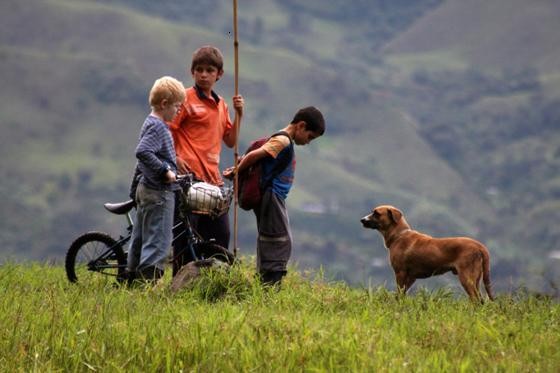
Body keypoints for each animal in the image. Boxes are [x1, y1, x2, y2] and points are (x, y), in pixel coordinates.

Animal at [360, 205, 492, 300]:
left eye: (377, 213)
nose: (362, 220)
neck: (399, 235)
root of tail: (480, 246)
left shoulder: (400, 273)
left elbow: (399, 293)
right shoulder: (411, 277)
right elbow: (402, 294)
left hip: (466, 277)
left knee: (475, 300)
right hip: (476, 279)